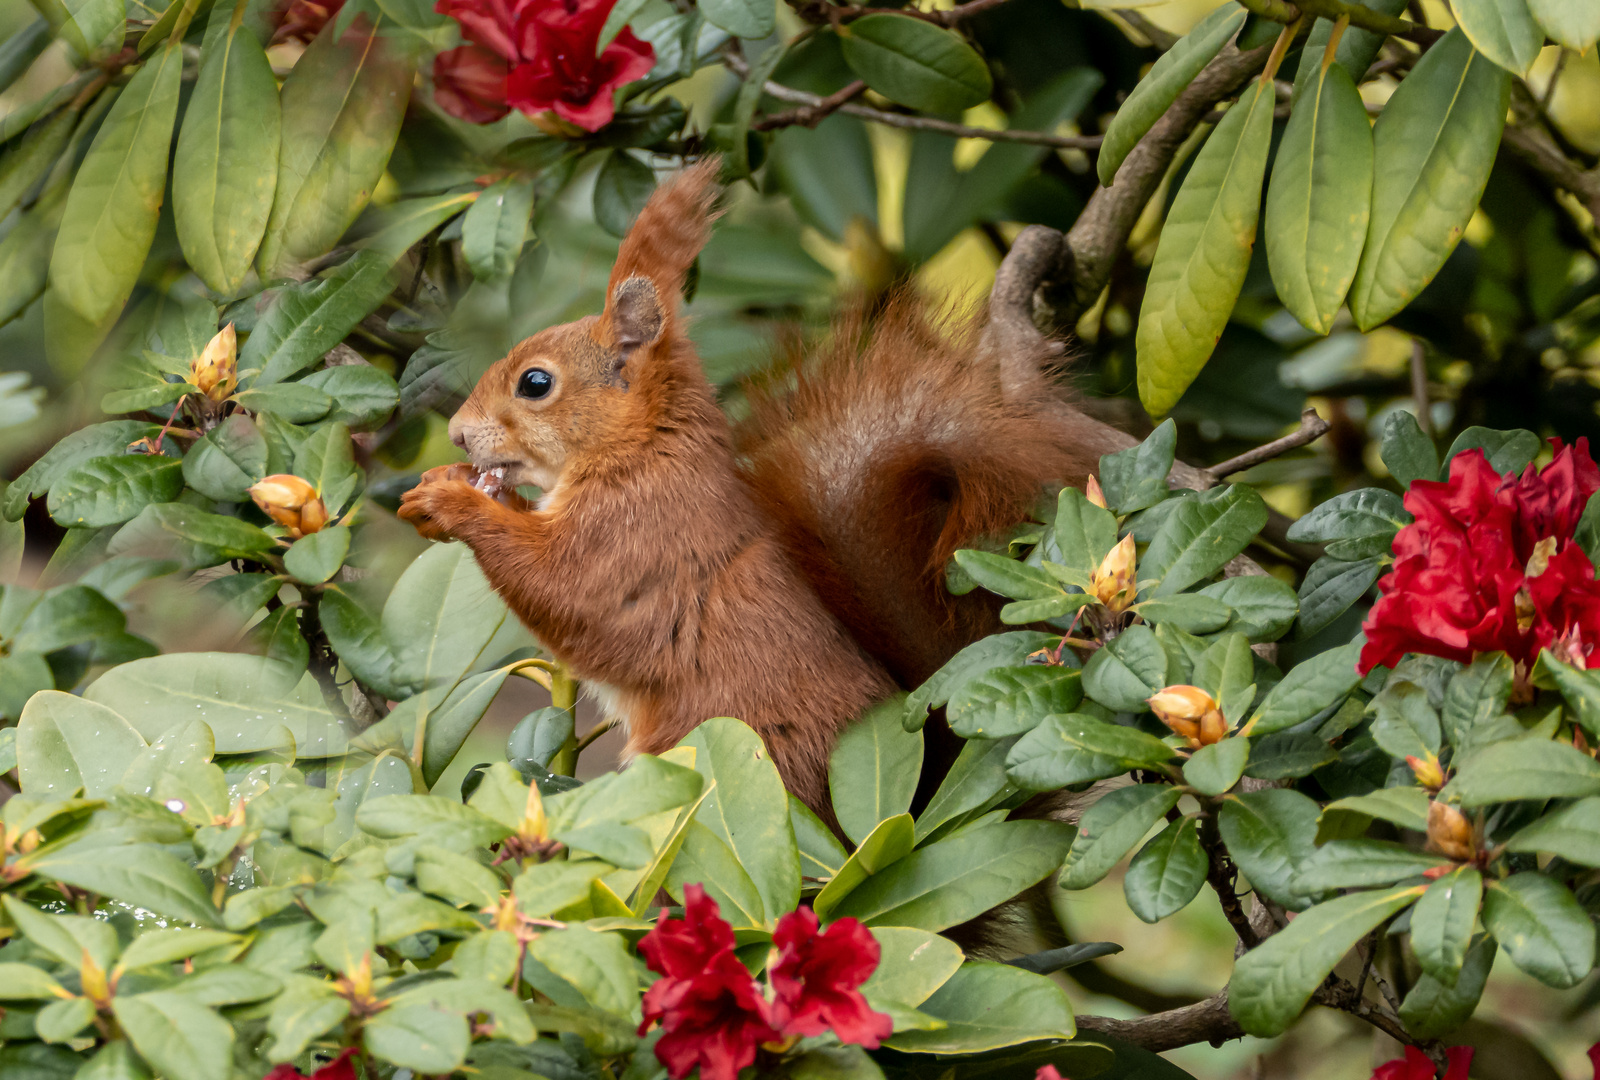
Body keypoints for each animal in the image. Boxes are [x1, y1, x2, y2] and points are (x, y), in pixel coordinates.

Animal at [398, 160, 1100, 819]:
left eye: (536, 384)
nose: (457, 434)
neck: (642, 448)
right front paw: (443, 486)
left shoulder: (637, 531)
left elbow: (564, 588)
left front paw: (451, 503)